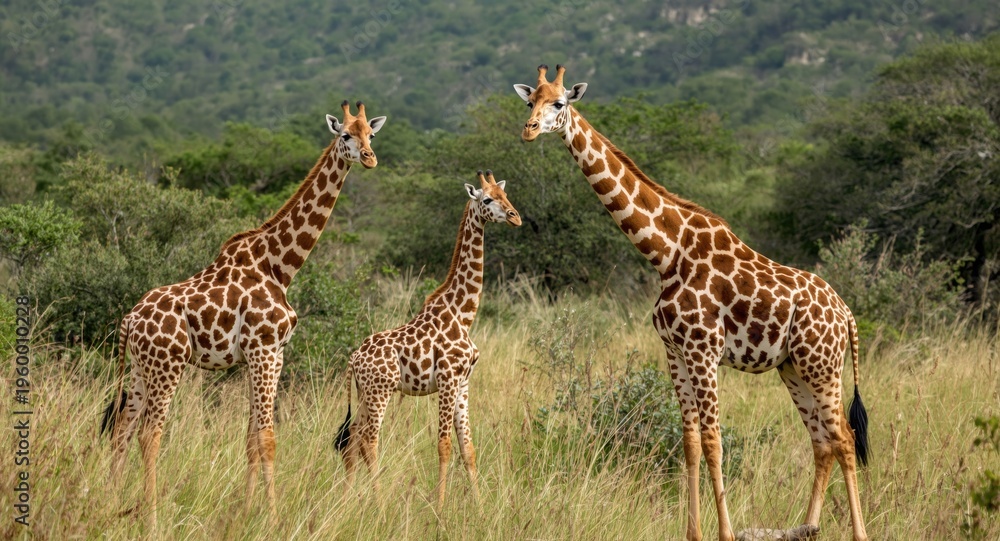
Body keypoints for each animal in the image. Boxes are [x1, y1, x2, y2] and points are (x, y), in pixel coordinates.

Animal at [99, 101, 386, 528]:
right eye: (345, 135)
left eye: (372, 133)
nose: (369, 158)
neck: (279, 266)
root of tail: (129, 321)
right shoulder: (264, 349)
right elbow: (268, 438)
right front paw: (273, 518)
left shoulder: (268, 354)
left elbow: (252, 439)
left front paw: (246, 512)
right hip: (168, 365)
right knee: (149, 433)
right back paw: (151, 517)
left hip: (139, 367)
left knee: (122, 428)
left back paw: (110, 503)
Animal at [334, 170, 521, 507]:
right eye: (487, 199)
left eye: (505, 196)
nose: (516, 217)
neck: (464, 314)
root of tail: (354, 358)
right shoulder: (447, 379)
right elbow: (444, 444)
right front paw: (441, 506)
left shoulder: (463, 382)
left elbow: (468, 448)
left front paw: (480, 507)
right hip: (380, 391)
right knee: (369, 439)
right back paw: (378, 504)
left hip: (365, 393)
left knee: (352, 437)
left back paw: (346, 500)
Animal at [514, 65, 870, 541]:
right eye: (529, 100)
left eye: (559, 103)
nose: (529, 130)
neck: (666, 252)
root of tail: (846, 313)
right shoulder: (675, 352)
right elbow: (691, 442)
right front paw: (693, 532)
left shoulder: (704, 350)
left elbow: (715, 441)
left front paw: (725, 533)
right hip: (793, 368)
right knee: (821, 441)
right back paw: (808, 527)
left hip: (822, 364)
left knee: (844, 438)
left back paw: (856, 533)